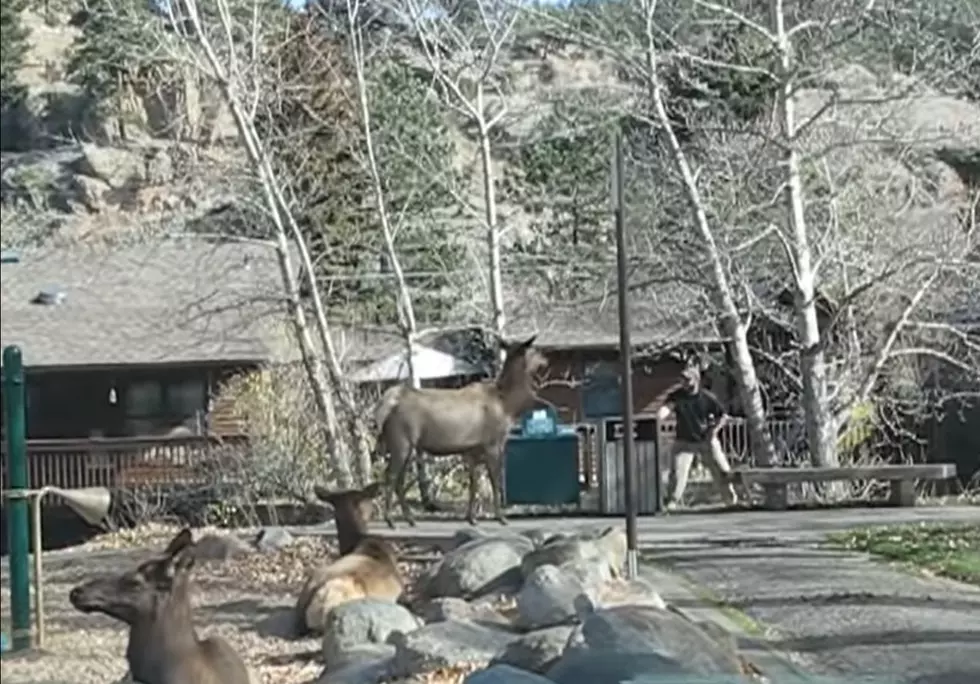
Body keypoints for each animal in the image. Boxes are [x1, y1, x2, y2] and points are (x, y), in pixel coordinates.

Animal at [374, 334, 548, 528]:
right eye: (534, 350)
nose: (545, 359)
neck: (508, 405)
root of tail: (387, 403)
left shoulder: (473, 449)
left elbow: (473, 483)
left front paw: (471, 518)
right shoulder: (493, 443)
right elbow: (495, 481)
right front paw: (500, 517)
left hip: (403, 444)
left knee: (399, 478)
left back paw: (410, 519)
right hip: (401, 441)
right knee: (391, 476)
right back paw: (390, 519)